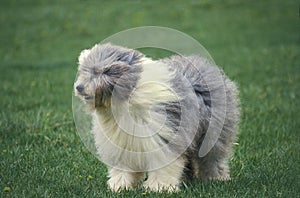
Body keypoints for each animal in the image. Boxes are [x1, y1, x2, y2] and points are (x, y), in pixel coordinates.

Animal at [74, 43, 240, 192]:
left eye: (102, 72)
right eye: (84, 71)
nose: (78, 87)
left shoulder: (164, 136)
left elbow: (163, 164)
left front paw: (159, 187)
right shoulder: (121, 142)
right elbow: (123, 167)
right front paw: (119, 186)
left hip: (213, 134)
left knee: (212, 157)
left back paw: (216, 178)